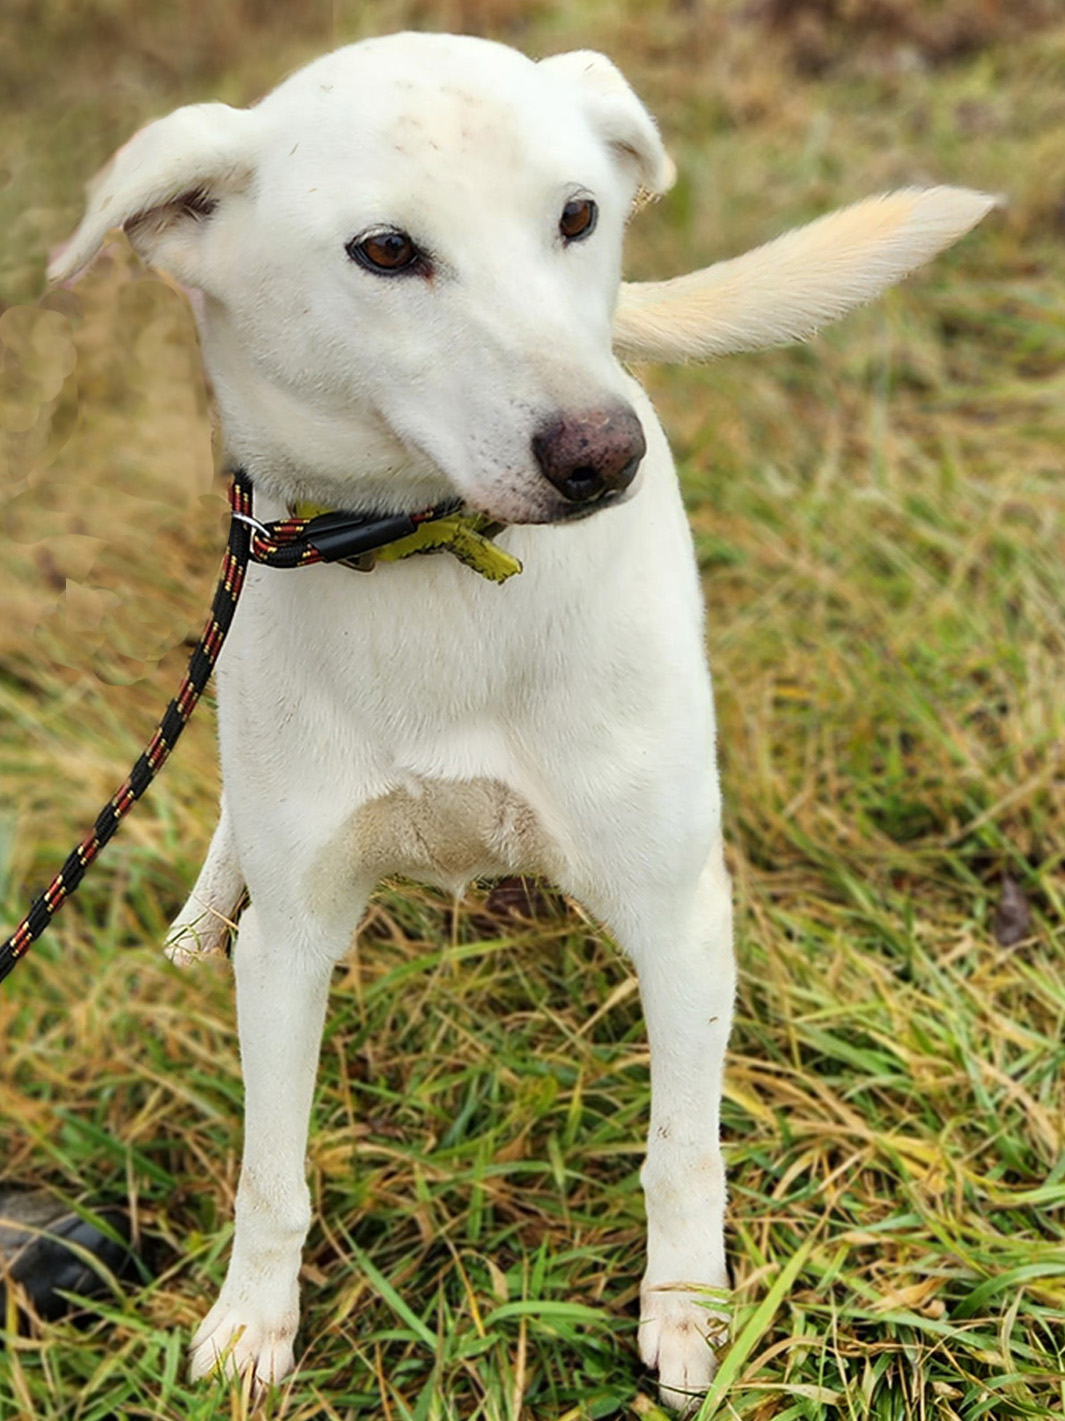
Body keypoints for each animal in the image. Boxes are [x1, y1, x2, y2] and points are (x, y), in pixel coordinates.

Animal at [49, 33, 995, 1409]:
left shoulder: (681, 916)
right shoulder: (293, 943)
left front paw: (692, 1312)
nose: (606, 451)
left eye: (578, 216)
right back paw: (202, 904)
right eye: (387, 250)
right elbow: (272, 1168)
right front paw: (251, 1323)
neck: (433, 558)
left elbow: (680, 1147)